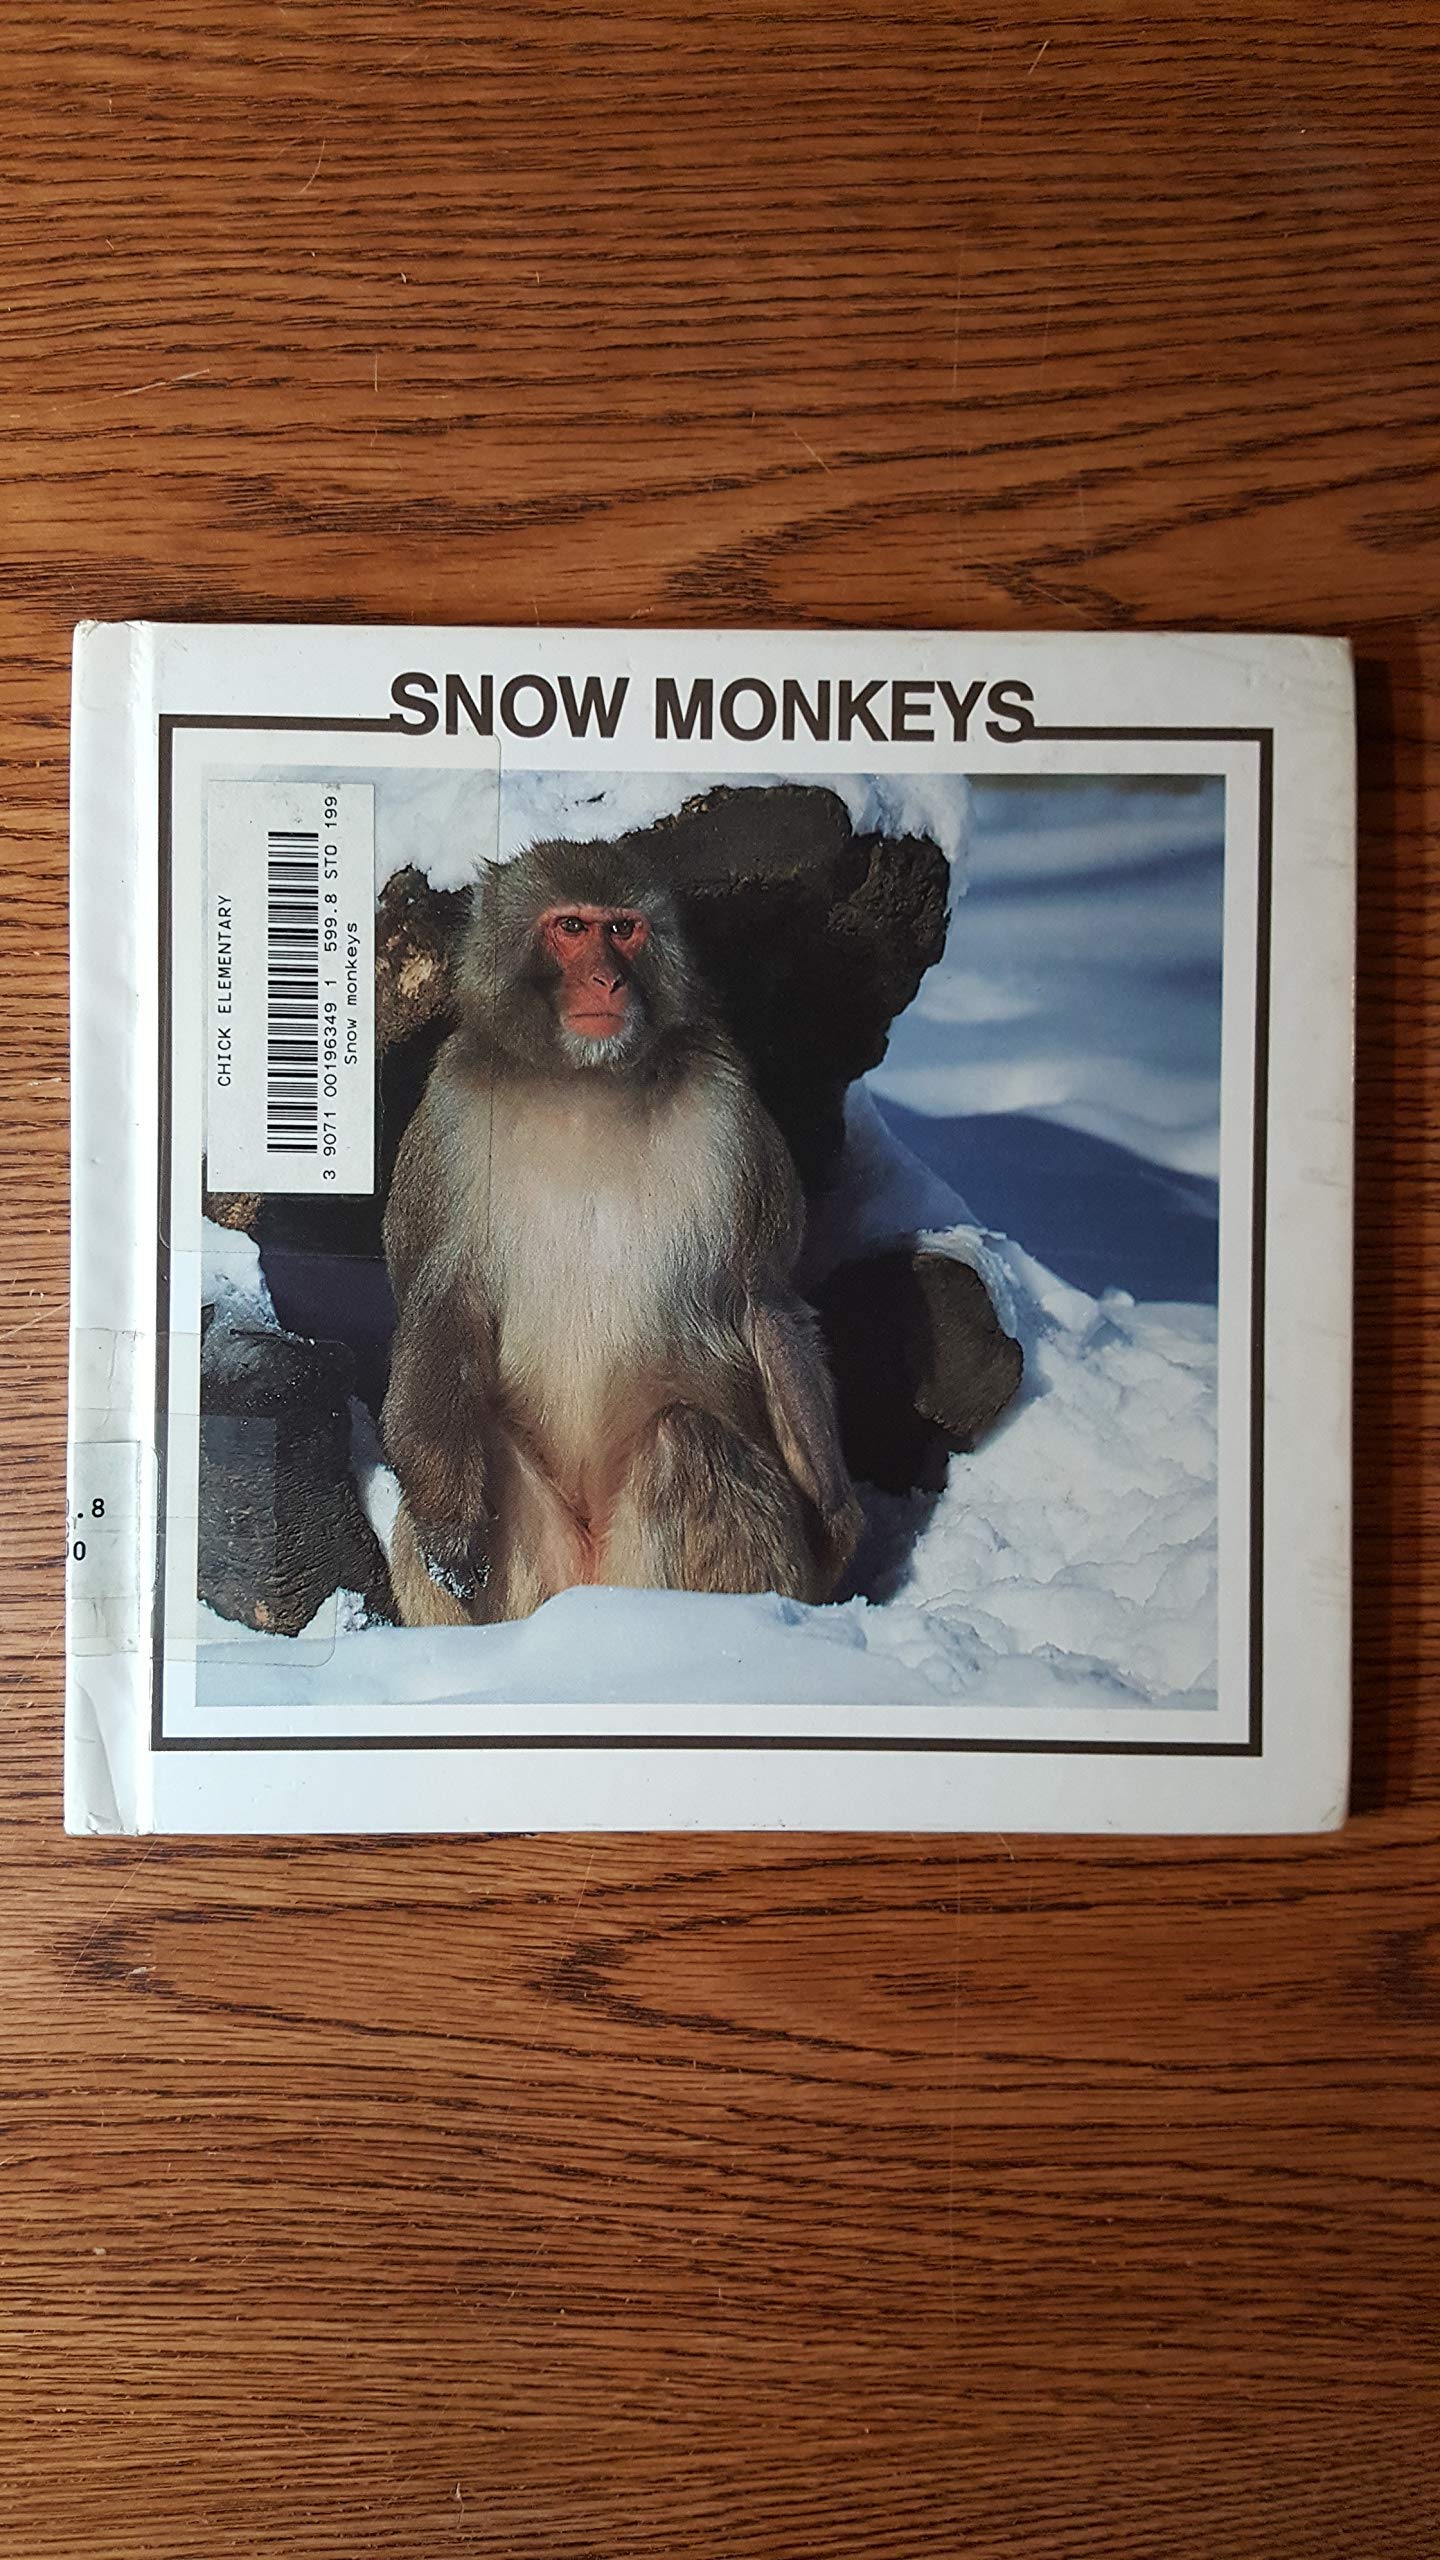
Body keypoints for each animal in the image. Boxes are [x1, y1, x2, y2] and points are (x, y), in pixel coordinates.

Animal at [380, 840, 863, 1628]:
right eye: (572, 928)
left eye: (624, 929)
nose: (607, 977)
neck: (587, 1085)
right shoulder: (449, 1118)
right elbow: (439, 1303)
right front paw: (451, 1528)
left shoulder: (733, 1115)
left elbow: (767, 1297)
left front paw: (838, 1516)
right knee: (484, 1438)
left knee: (687, 1438)